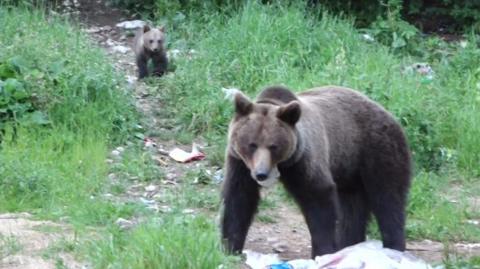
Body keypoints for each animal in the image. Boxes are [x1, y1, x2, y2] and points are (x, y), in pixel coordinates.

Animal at [221, 85, 412, 256]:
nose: (261, 174)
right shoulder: (240, 163)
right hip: (349, 168)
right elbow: (239, 198)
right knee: (352, 208)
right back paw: (349, 244)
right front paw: (230, 246)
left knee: (388, 198)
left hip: (378, 150)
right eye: (251, 144)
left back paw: (393, 246)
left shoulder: (304, 160)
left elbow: (318, 198)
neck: (282, 165)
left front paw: (323, 251)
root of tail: (388, 113)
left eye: (273, 146)